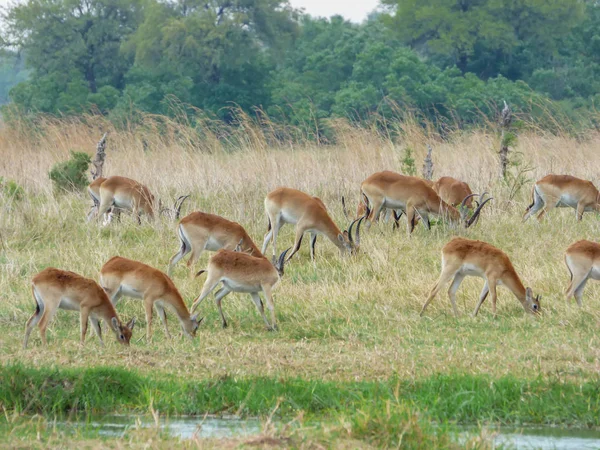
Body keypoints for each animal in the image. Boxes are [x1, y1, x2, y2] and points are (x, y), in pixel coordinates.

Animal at [358, 171, 490, 236]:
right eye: (458, 221)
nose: (459, 234)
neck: (426, 192)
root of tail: (364, 182)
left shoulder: (424, 213)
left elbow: (428, 227)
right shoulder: (410, 208)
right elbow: (410, 227)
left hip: (382, 207)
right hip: (378, 204)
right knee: (369, 221)